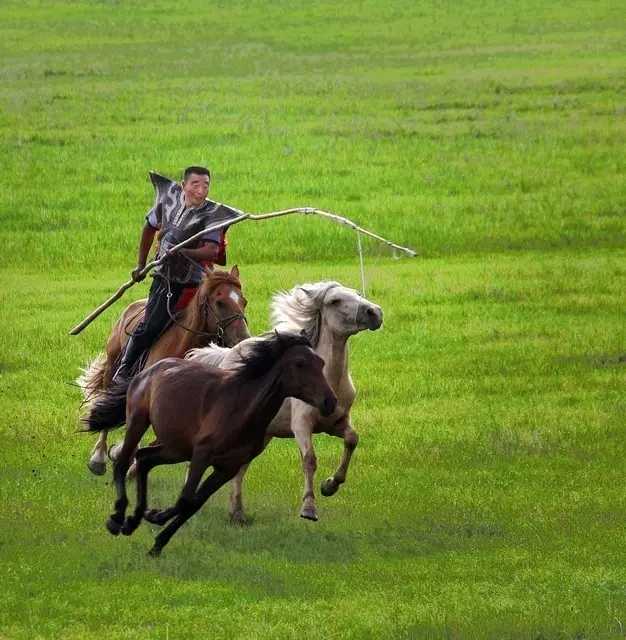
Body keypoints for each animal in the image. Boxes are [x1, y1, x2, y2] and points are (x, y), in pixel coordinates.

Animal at [84, 332, 336, 556]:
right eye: (300, 364)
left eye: (321, 363)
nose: (330, 402)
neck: (242, 409)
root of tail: (147, 371)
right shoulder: (202, 455)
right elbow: (186, 499)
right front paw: (155, 516)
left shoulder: (227, 468)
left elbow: (193, 504)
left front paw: (157, 541)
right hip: (139, 421)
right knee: (123, 462)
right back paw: (117, 519)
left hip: (176, 448)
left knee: (145, 458)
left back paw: (133, 520)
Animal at [186, 282, 380, 524]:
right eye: (335, 301)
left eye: (357, 294)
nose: (375, 312)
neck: (329, 380)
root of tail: (226, 357)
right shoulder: (302, 425)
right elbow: (309, 459)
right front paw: (309, 508)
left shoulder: (337, 423)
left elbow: (352, 440)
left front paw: (330, 486)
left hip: (261, 436)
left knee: (240, 467)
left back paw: (237, 513)